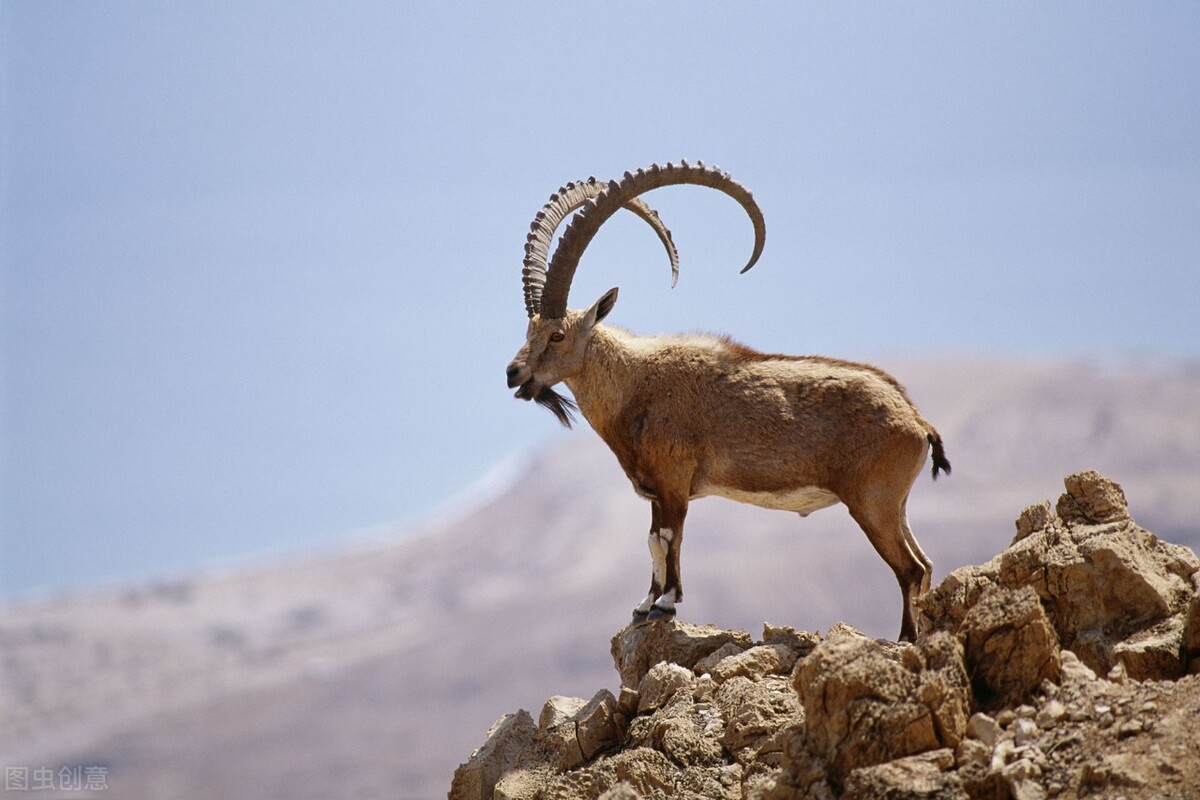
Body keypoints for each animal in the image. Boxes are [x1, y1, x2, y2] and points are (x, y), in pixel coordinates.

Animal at [504, 159, 945, 642]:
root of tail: (917, 421)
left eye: (558, 335)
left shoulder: (675, 479)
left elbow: (669, 537)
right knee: (924, 565)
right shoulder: (655, 489)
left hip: (872, 502)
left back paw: (905, 640)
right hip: (896, 505)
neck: (635, 384)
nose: (513, 374)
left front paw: (665, 603)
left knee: (908, 569)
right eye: (529, 331)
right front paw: (643, 605)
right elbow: (653, 539)